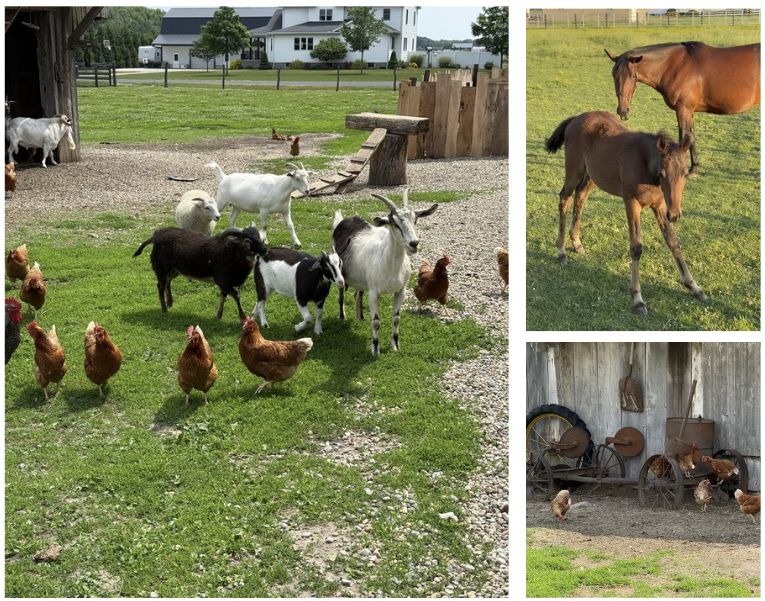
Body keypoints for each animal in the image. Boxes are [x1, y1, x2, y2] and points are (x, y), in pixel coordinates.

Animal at [133, 225, 267, 320]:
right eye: (247, 240)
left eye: (259, 237)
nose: (264, 250)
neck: (233, 252)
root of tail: (155, 237)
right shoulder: (222, 280)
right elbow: (236, 295)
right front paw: (242, 317)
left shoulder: (225, 283)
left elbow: (223, 296)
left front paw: (218, 315)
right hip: (161, 268)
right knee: (160, 286)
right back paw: (164, 309)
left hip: (174, 269)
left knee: (167, 282)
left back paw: (169, 302)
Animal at [332, 189, 438, 356]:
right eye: (394, 223)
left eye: (415, 220)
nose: (414, 244)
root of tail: (344, 220)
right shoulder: (374, 292)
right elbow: (376, 322)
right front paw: (375, 349)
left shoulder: (401, 291)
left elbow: (396, 318)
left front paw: (395, 345)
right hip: (339, 274)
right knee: (341, 295)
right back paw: (342, 317)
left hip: (362, 280)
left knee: (357, 294)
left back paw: (360, 317)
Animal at [545, 111, 706, 316]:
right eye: (662, 173)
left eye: (685, 173)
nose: (675, 215)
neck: (646, 165)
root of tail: (576, 118)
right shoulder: (632, 203)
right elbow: (636, 247)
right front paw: (637, 299)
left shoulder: (660, 205)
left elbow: (673, 241)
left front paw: (694, 287)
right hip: (574, 170)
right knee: (564, 198)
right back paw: (561, 251)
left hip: (592, 175)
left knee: (580, 197)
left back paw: (577, 242)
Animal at [605, 41, 760, 174]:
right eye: (613, 75)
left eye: (632, 76)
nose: (622, 110)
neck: (674, 66)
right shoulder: (689, 111)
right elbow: (691, 136)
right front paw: (694, 167)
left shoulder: (683, 109)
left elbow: (684, 136)